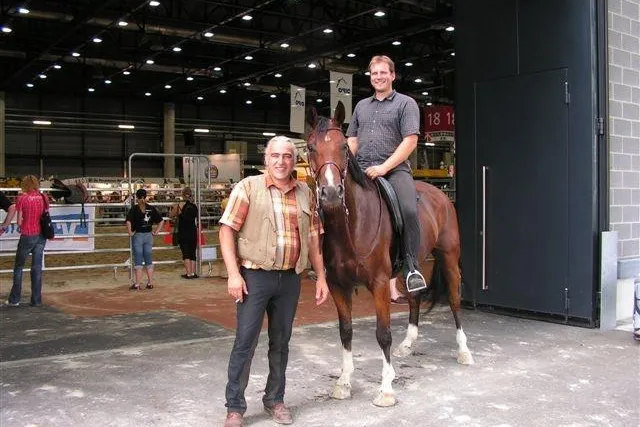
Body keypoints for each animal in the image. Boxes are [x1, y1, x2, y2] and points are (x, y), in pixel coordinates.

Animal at [306, 101, 474, 407]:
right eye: (311, 147)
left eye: (343, 147)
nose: (331, 193)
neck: (352, 226)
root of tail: (441, 196)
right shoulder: (338, 286)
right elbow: (345, 331)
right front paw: (344, 382)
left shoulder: (380, 284)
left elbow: (382, 334)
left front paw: (385, 389)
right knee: (415, 297)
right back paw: (408, 344)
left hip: (449, 259)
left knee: (455, 302)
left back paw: (464, 351)